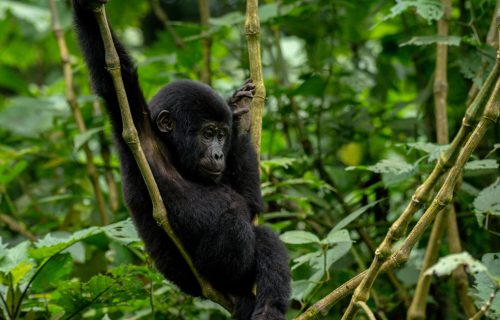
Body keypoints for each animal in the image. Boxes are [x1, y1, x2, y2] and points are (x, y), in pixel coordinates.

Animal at [70, 1, 290, 318]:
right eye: (208, 133)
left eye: (222, 135)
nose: (218, 153)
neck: (172, 154)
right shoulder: (138, 134)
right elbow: (113, 73)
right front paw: (87, 8)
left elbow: (251, 204)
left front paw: (239, 113)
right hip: (207, 280)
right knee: (236, 221)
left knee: (263, 236)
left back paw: (269, 308)